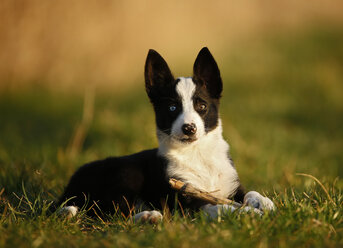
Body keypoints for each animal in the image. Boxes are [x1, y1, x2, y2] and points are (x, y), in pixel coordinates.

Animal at [57, 47, 276, 222]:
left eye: (202, 106)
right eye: (172, 107)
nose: (189, 128)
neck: (198, 154)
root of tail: (69, 187)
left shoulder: (232, 186)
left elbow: (249, 193)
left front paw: (264, 202)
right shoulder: (186, 199)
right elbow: (218, 206)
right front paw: (247, 213)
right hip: (126, 173)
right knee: (111, 212)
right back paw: (148, 217)